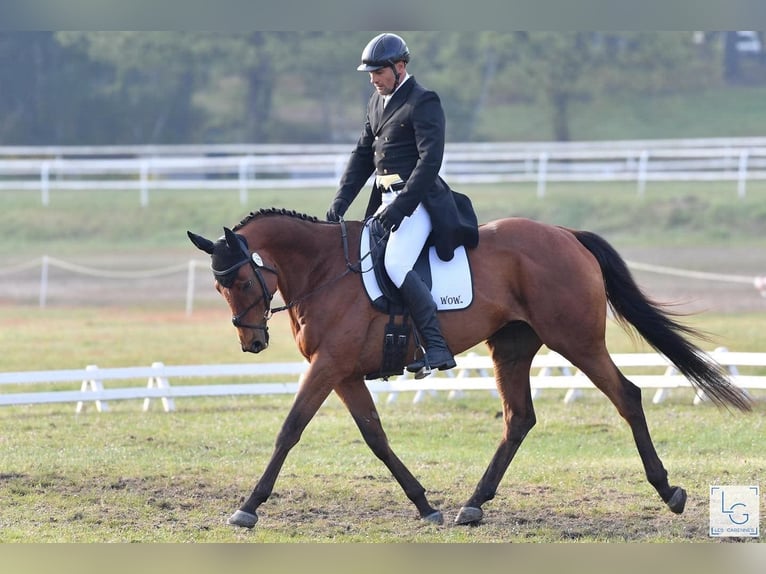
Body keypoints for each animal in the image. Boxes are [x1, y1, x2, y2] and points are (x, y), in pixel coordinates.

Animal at [189, 207, 752, 532]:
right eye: (218, 286)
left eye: (241, 281)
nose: (251, 342)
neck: (326, 270)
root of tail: (566, 234)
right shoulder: (343, 372)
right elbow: (375, 437)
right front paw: (424, 504)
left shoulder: (329, 366)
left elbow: (289, 430)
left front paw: (248, 506)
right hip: (512, 348)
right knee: (519, 418)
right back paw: (473, 504)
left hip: (577, 340)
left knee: (627, 396)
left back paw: (668, 491)